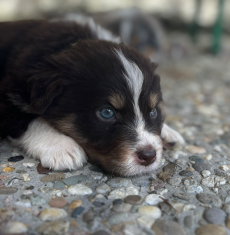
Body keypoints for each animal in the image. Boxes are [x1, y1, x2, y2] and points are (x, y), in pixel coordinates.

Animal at [0, 17, 184, 175]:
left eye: (153, 112)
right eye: (107, 113)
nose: (149, 156)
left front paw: (168, 132)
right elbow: (28, 118)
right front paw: (62, 146)